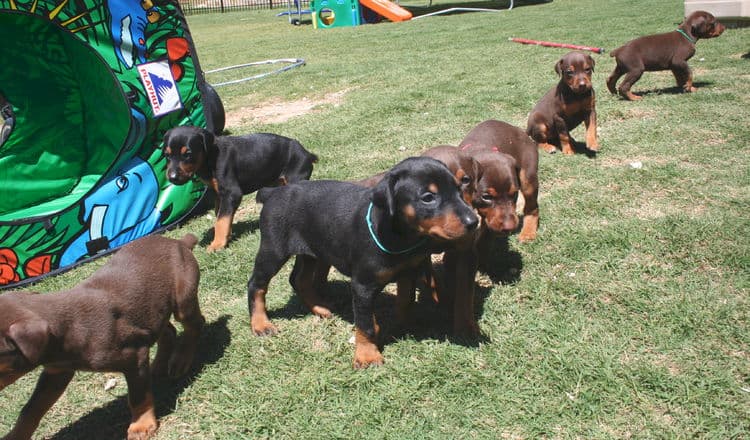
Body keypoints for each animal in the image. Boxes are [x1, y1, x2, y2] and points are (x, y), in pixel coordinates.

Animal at [0, 234, 206, 440]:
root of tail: (178, 242)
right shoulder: (57, 372)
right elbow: (30, 410)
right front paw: (14, 436)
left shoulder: (133, 356)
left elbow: (138, 396)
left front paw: (141, 425)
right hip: (153, 313)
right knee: (168, 331)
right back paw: (158, 365)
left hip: (182, 300)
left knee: (194, 325)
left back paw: (180, 360)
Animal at [162, 125, 318, 253]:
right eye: (167, 155)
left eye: (188, 154)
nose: (172, 177)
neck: (210, 156)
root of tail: (307, 153)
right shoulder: (219, 194)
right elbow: (221, 215)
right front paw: (227, 235)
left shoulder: (232, 192)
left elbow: (221, 220)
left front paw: (217, 244)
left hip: (296, 179)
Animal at [248, 156, 482, 370]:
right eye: (428, 197)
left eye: (460, 189)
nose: (474, 222)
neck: (402, 238)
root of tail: (273, 193)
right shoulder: (362, 285)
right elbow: (365, 324)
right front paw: (367, 356)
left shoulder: (409, 270)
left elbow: (405, 301)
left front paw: (404, 326)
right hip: (274, 249)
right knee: (256, 284)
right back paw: (260, 324)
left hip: (312, 252)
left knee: (299, 280)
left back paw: (320, 308)